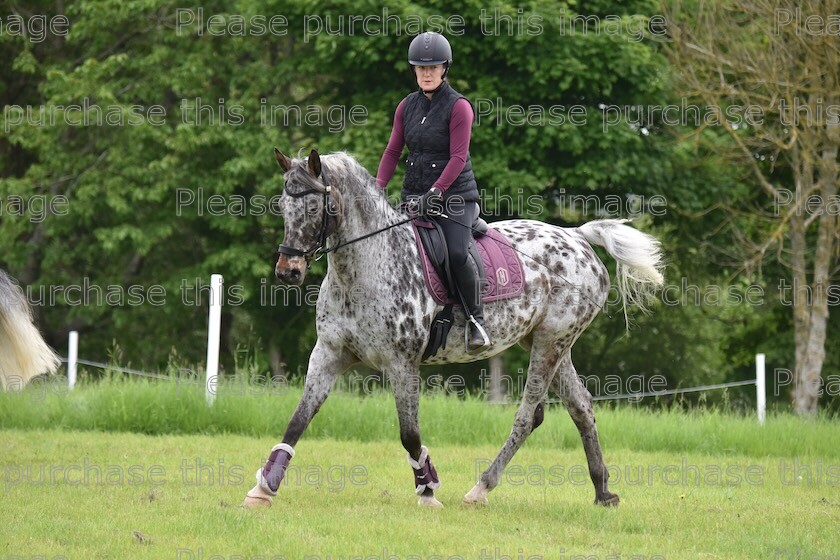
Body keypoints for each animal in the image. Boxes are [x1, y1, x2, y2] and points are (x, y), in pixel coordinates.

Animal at [243, 149, 664, 508]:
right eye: (283, 206)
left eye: (315, 206)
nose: (288, 272)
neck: (363, 270)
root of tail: (576, 236)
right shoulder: (329, 353)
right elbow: (298, 419)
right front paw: (264, 487)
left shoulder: (401, 364)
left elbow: (409, 434)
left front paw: (428, 488)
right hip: (547, 342)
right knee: (581, 407)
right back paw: (603, 492)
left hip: (551, 341)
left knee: (529, 414)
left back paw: (481, 488)